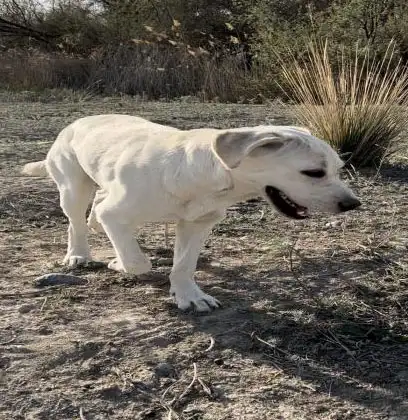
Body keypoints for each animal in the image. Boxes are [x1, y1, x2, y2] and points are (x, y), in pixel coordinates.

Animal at [22, 115, 360, 312]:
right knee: (76, 222)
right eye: (313, 173)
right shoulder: (117, 215)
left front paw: (189, 295)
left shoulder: (198, 224)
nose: (352, 204)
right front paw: (118, 262)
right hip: (73, 188)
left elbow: (183, 266)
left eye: (338, 169)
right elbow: (138, 262)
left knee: (97, 206)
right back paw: (78, 253)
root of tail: (76, 122)